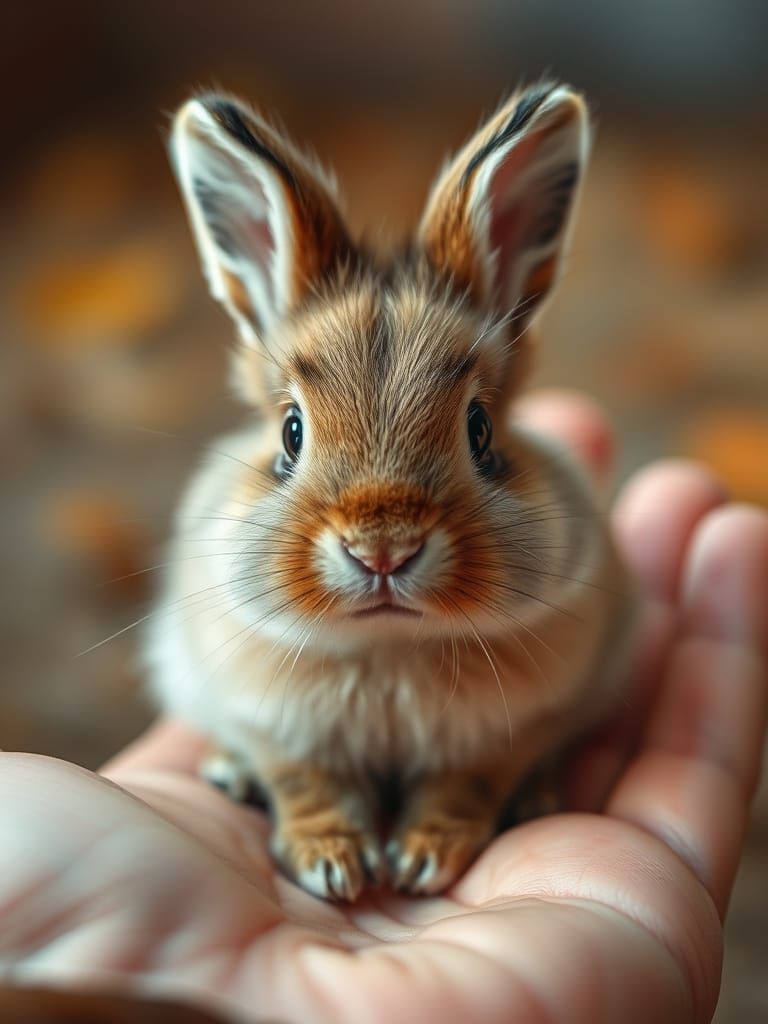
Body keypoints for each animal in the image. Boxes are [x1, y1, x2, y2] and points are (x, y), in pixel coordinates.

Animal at [147, 82, 636, 902]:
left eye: (480, 430)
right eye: (291, 433)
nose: (383, 549)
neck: (389, 646)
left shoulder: (503, 736)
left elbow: (465, 789)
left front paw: (423, 858)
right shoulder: (276, 730)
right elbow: (306, 787)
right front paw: (333, 864)